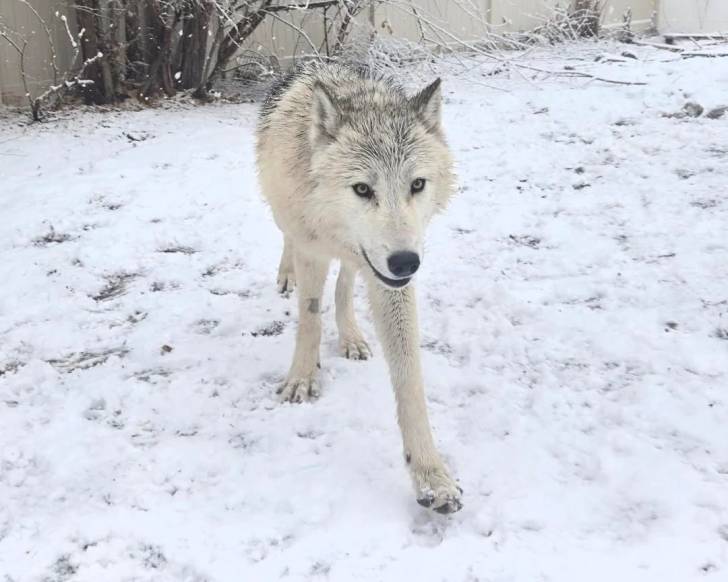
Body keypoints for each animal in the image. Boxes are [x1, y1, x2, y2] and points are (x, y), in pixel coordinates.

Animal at [255, 63, 461, 513]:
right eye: (363, 189)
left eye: (417, 185)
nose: (406, 263)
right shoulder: (312, 248)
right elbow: (310, 320)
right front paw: (302, 379)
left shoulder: (388, 279)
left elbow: (409, 377)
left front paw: (431, 475)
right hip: (282, 215)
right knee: (287, 243)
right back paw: (286, 274)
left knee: (346, 285)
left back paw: (351, 336)